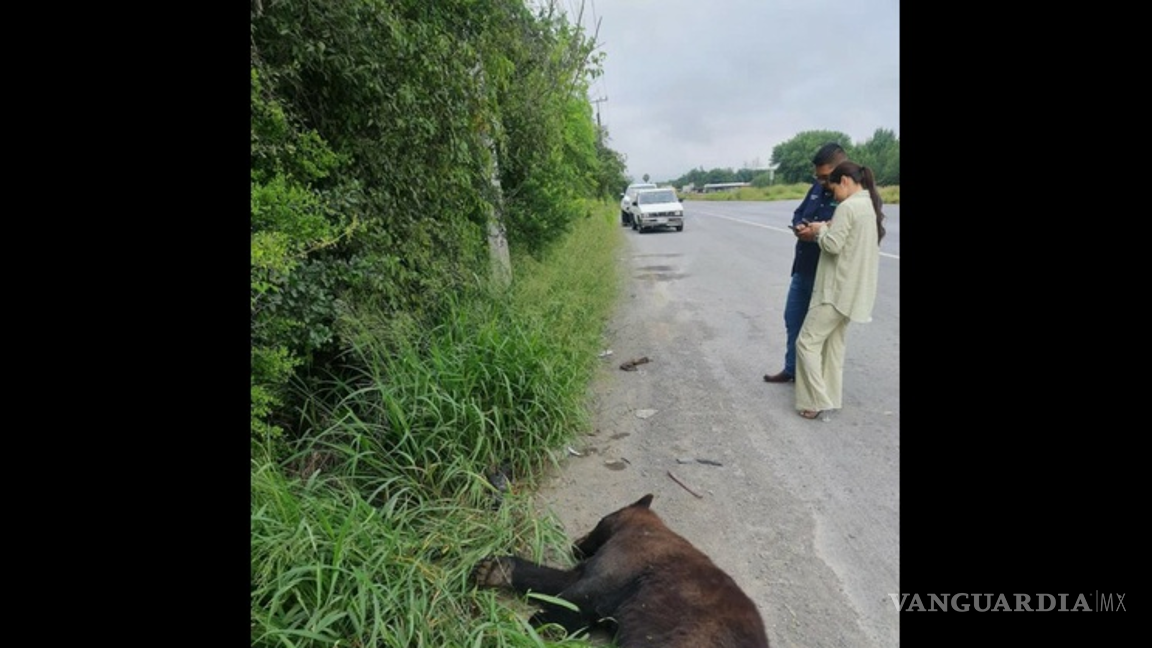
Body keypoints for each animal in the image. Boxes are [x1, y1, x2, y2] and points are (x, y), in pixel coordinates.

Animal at [473, 493, 770, 647]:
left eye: (597, 522)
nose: (576, 543)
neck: (641, 529)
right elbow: (557, 581)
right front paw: (493, 568)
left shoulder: (620, 564)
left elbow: (576, 601)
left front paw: (534, 624)